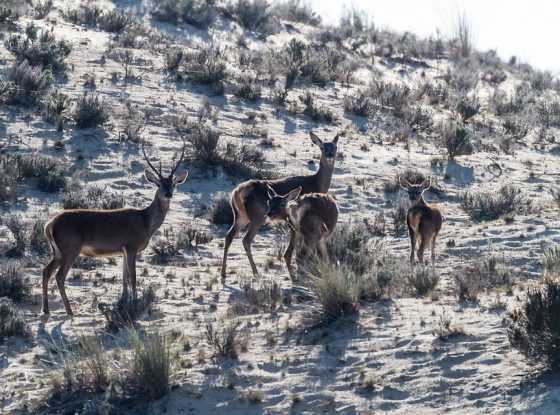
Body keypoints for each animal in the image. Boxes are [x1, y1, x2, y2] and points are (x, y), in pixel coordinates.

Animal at [41, 145, 189, 316]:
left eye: (173, 184)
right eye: (159, 184)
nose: (168, 193)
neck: (145, 221)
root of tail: (49, 225)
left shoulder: (123, 250)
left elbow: (124, 278)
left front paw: (124, 302)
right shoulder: (131, 246)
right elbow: (133, 277)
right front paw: (134, 304)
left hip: (58, 251)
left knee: (46, 271)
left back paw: (46, 309)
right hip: (70, 248)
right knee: (59, 276)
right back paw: (69, 311)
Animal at [221, 132, 340, 282]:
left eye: (335, 147)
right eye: (323, 147)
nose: (330, 155)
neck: (316, 183)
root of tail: (236, 192)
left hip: (240, 216)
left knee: (228, 236)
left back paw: (223, 273)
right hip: (257, 216)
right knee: (246, 240)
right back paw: (255, 272)